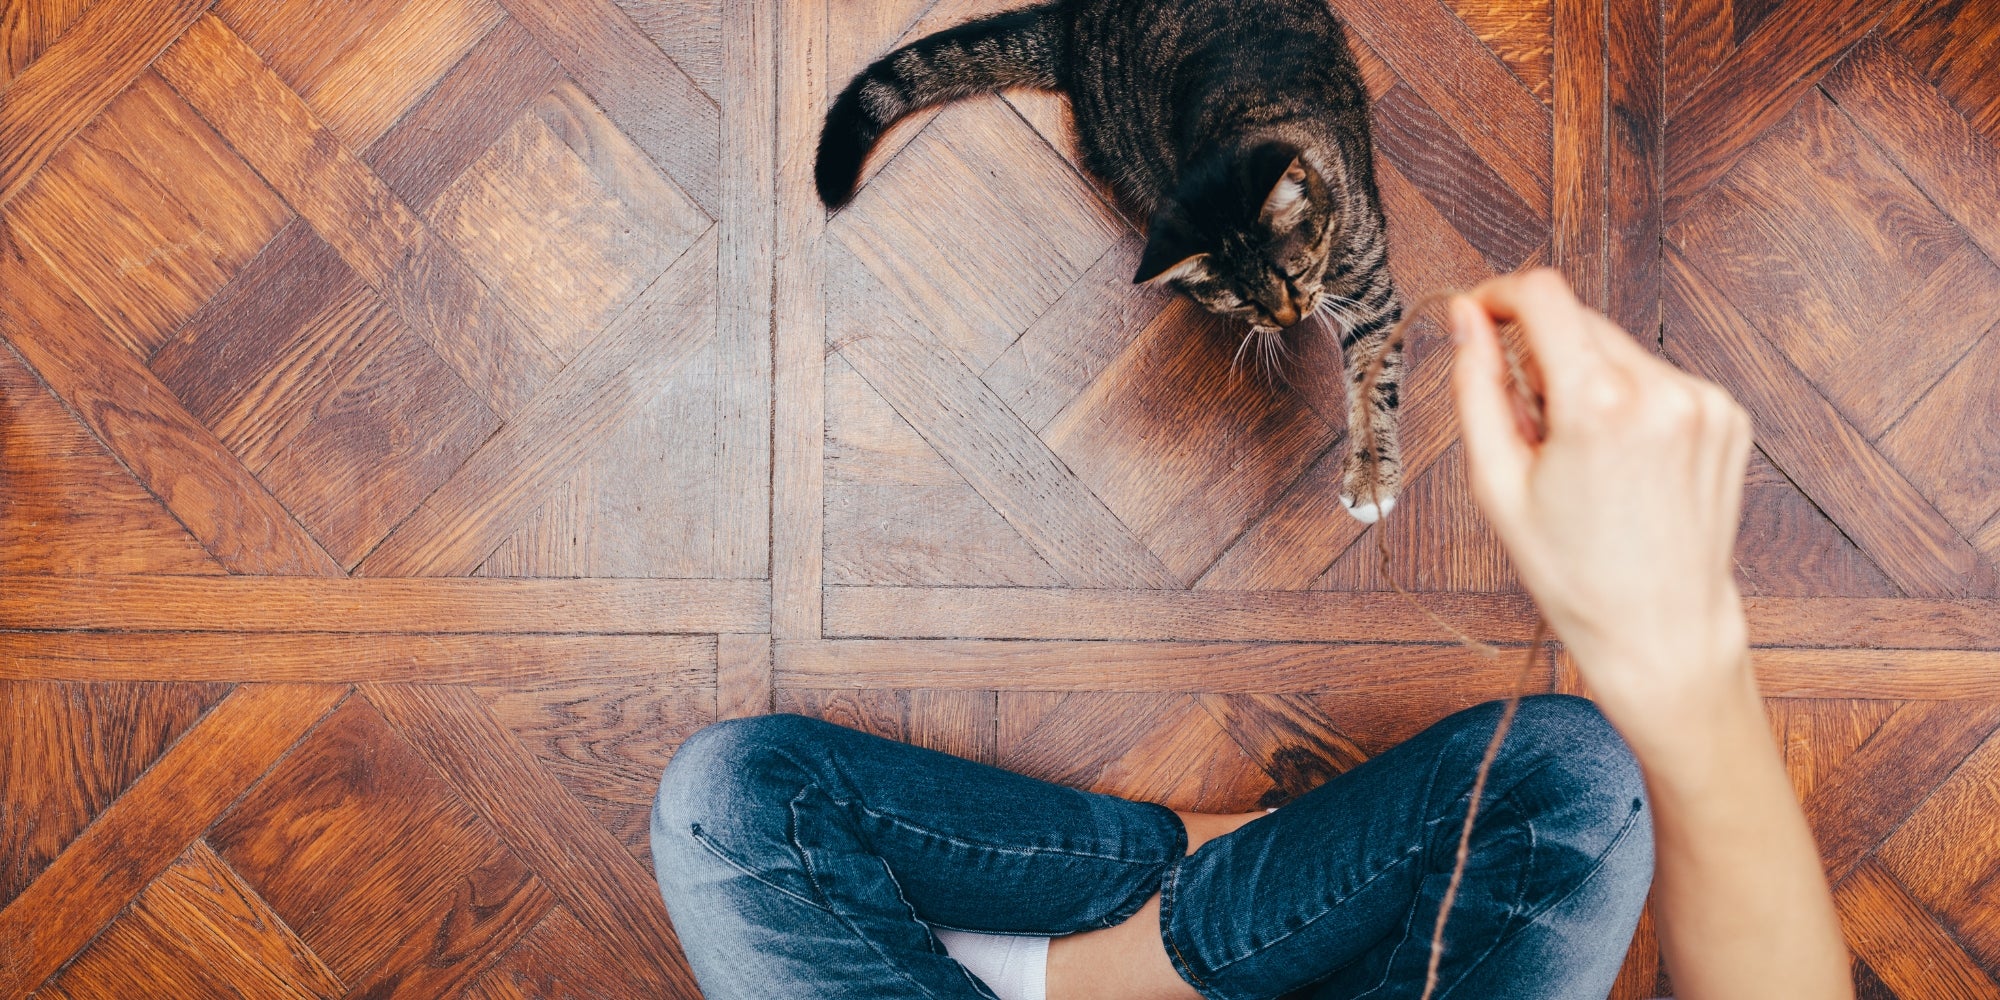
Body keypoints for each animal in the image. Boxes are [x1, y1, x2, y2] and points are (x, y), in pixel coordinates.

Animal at [812, 0, 1408, 524]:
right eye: (1242, 305)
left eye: (1296, 273)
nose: (1289, 319)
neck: (1243, 115)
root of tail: (1077, 19)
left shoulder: (1370, 284)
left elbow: (1372, 383)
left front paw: (1371, 479)